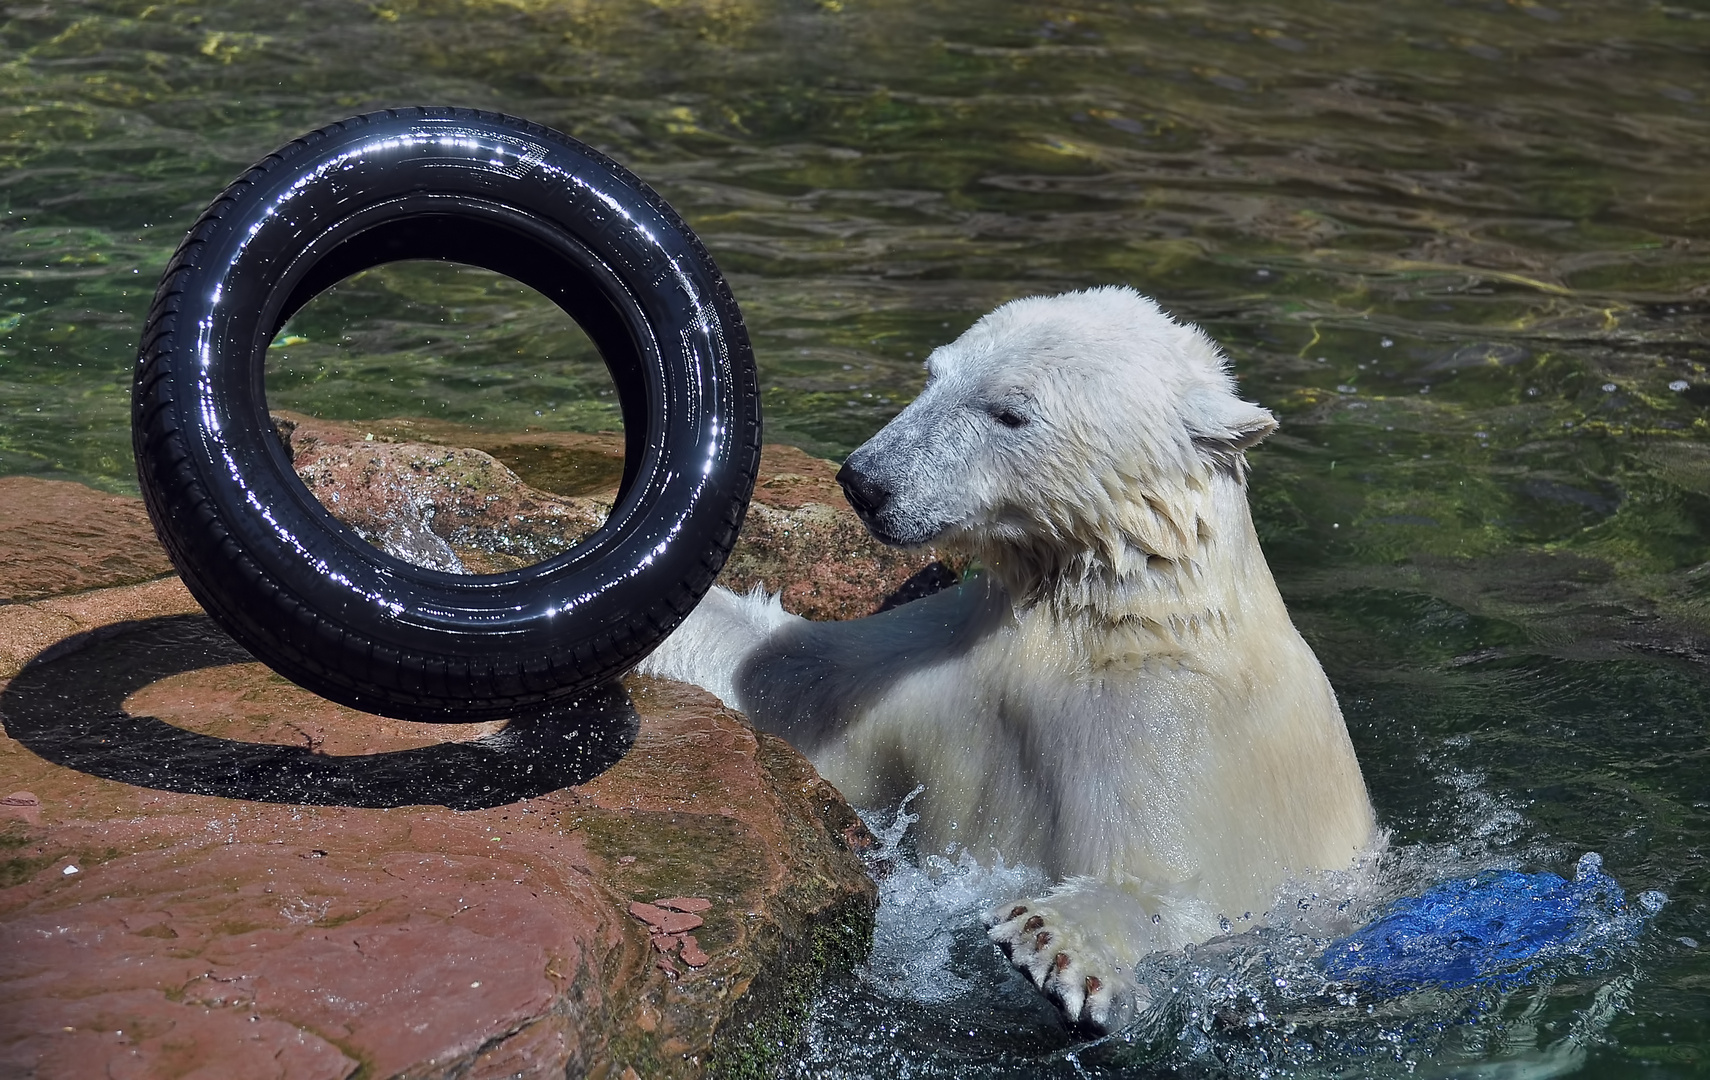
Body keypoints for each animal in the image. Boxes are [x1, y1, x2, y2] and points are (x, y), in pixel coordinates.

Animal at [642, 285, 1374, 1032]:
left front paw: (1055, 940)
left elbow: (1197, 899)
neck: (1106, 615)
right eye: (935, 374)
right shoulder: (940, 656)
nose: (865, 483)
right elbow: (793, 683)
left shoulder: (1180, 725)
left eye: (1010, 411)